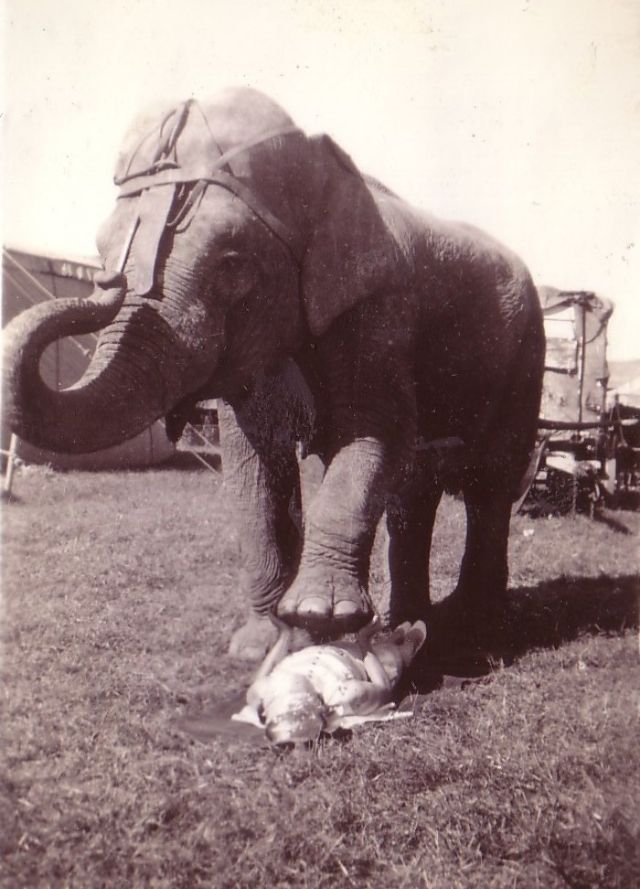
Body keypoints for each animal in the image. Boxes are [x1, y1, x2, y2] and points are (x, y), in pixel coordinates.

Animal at [3, 88, 545, 662]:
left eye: (232, 264)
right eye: (103, 250)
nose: (106, 280)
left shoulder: (381, 308)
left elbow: (376, 434)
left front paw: (321, 617)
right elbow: (254, 459)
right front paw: (263, 645)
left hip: (527, 350)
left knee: (491, 479)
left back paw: (476, 629)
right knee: (416, 487)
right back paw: (410, 628)